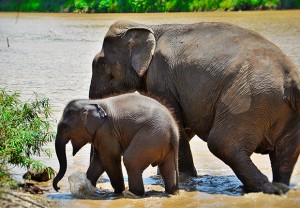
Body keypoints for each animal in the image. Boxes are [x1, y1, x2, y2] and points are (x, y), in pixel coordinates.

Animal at [88, 20, 300, 194]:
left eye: (100, 64)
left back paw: (266, 189)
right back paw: (277, 188)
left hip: (249, 99)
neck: (152, 27)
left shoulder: (161, 78)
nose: (93, 186)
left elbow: (176, 121)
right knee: (285, 154)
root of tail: (291, 78)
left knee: (222, 143)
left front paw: (184, 177)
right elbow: (184, 127)